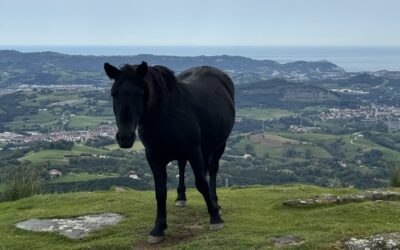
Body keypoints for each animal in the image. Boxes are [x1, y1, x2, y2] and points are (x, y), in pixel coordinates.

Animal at [104, 61, 234, 244]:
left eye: (139, 93)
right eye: (113, 93)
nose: (124, 137)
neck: (165, 115)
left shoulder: (194, 151)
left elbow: (201, 183)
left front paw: (215, 217)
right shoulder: (153, 158)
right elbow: (160, 192)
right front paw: (158, 228)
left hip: (219, 145)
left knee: (213, 170)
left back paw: (215, 203)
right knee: (181, 165)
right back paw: (181, 197)